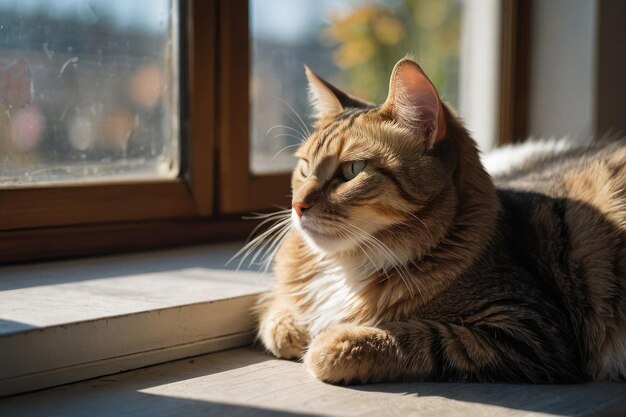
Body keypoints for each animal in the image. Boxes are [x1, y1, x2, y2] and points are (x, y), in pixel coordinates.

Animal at [251, 57, 620, 382]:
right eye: (304, 167)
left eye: (352, 170)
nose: (297, 205)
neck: (348, 265)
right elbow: (277, 314)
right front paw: (293, 328)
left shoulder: (532, 327)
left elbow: (425, 337)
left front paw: (335, 343)